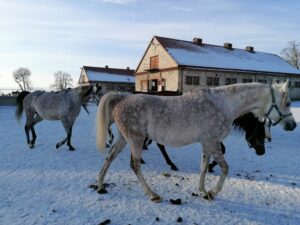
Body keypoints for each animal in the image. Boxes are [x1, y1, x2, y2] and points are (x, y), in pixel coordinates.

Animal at [94, 81, 296, 202]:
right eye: (287, 103)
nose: (293, 125)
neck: (225, 104)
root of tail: (122, 98)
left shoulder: (207, 144)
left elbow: (203, 167)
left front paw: (204, 191)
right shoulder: (213, 142)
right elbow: (224, 168)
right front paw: (213, 192)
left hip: (124, 139)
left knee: (109, 158)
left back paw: (101, 185)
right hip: (135, 140)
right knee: (134, 165)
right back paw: (153, 194)